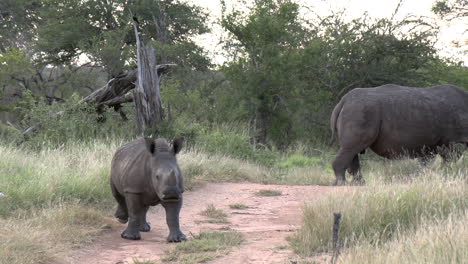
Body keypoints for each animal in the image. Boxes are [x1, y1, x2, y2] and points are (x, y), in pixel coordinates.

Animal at [330, 84, 468, 186]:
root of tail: (343, 101)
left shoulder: (432, 144)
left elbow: (429, 161)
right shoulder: (455, 140)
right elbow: (450, 160)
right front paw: (447, 175)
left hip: (357, 109)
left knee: (352, 150)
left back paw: (360, 184)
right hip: (360, 110)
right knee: (352, 147)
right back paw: (343, 184)